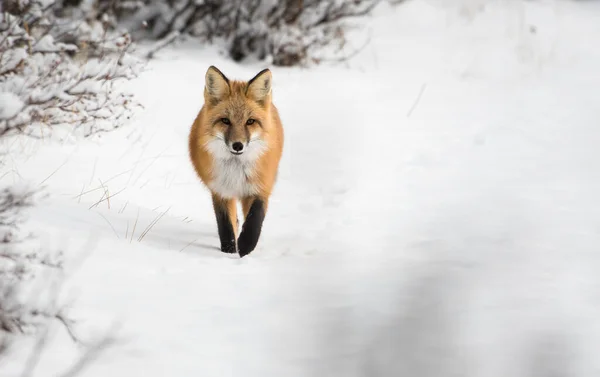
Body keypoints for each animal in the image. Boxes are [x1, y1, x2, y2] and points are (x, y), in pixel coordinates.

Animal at [188, 66, 284, 258]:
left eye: (250, 122)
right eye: (225, 121)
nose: (238, 145)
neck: (236, 171)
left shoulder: (261, 186)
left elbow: (255, 221)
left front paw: (246, 247)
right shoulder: (220, 191)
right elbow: (225, 225)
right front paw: (229, 251)